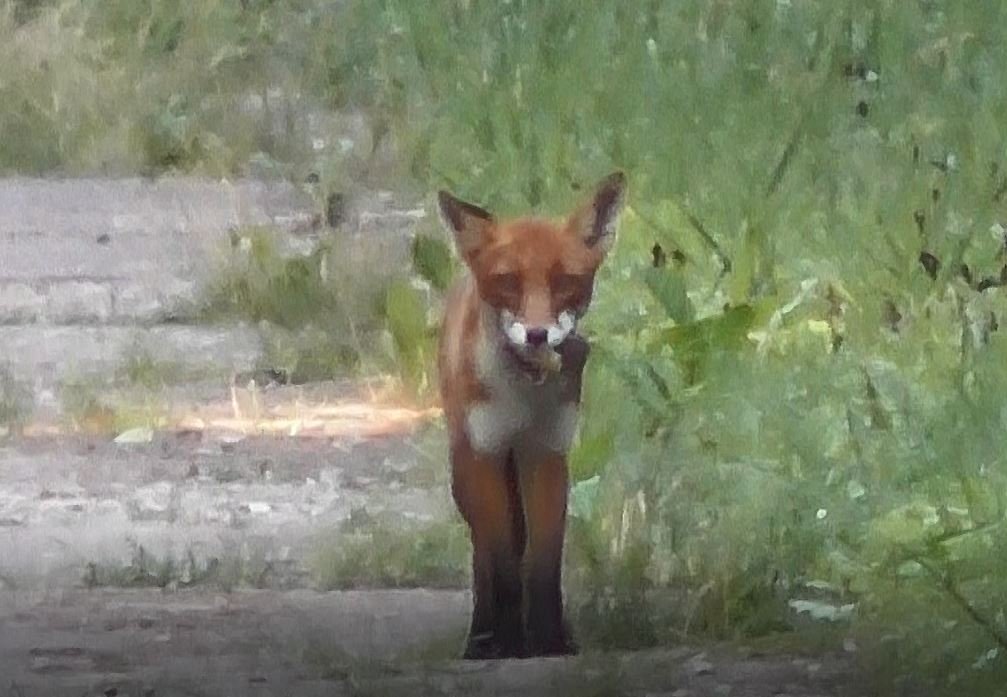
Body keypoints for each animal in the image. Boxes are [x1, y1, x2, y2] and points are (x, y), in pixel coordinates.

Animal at [437, 170, 624, 660]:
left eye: (565, 281)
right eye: (508, 282)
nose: (538, 335)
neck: (521, 400)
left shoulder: (546, 452)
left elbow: (542, 565)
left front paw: (547, 639)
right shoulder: (484, 452)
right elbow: (502, 563)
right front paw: (504, 641)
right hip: (463, 470)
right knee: (483, 555)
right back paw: (481, 635)